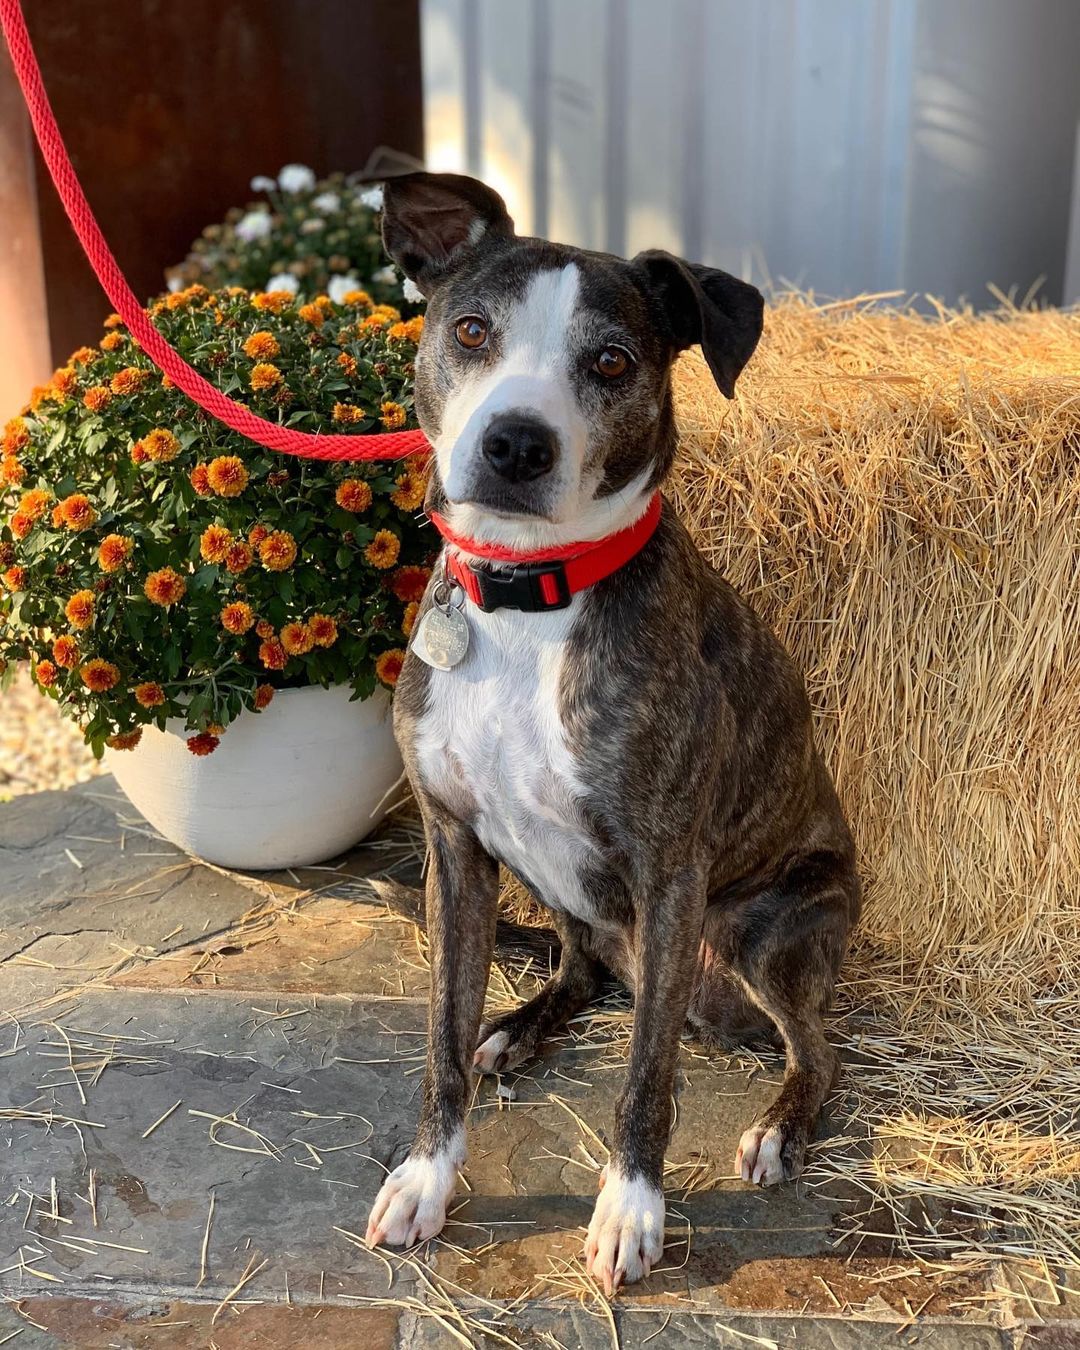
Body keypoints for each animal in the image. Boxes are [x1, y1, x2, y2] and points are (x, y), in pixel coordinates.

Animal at [364, 174, 858, 1290]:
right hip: (560, 891)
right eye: (472, 330)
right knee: (578, 966)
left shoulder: (668, 871)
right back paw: (519, 1029)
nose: (515, 443)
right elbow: (440, 1040)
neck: (528, 600)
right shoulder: (454, 848)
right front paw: (426, 1177)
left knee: (816, 1048)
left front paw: (631, 1210)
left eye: (611, 362)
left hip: (766, 930)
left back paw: (779, 1128)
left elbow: (646, 1074)